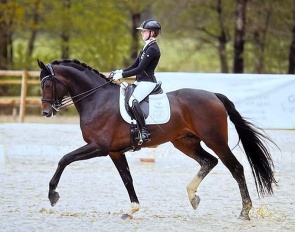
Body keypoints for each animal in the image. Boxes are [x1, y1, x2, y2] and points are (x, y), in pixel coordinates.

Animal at [37, 59, 278, 220]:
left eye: (47, 84)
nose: (46, 112)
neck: (97, 99)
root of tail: (214, 96)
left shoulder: (99, 147)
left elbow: (64, 159)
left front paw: (52, 194)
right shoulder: (114, 152)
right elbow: (127, 179)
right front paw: (131, 209)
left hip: (215, 140)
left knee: (235, 167)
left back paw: (244, 211)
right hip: (185, 142)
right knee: (209, 161)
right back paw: (193, 197)